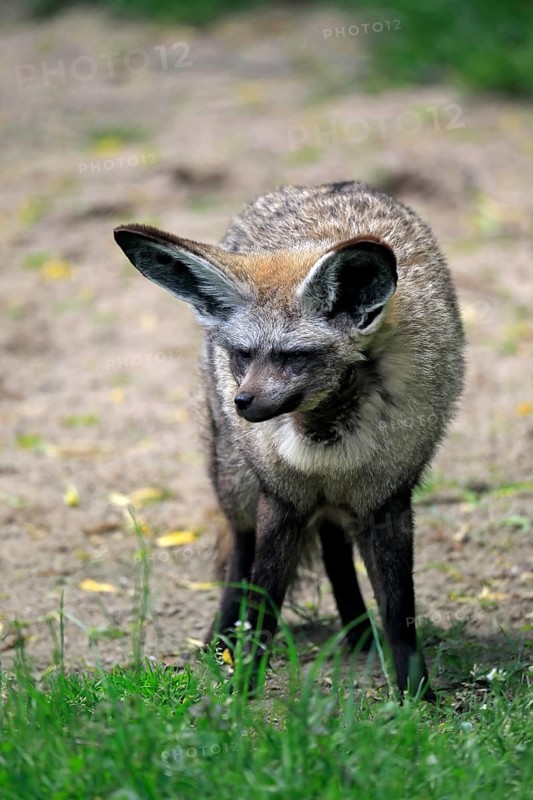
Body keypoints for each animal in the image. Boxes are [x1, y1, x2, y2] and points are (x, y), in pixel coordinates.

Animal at [114, 180, 464, 699]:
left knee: (336, 550)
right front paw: (243, 688)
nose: (242, 402)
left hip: (335, 505)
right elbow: (263, 606)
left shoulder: (387, 502)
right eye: (243, 354)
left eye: (293, 357)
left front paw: (415, 696)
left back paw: (358, 633)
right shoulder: (282, 500)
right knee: (241, 553)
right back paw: (223, 638)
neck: (326, 443)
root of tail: (321, 186)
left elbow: (401, 613)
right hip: (236, 483)